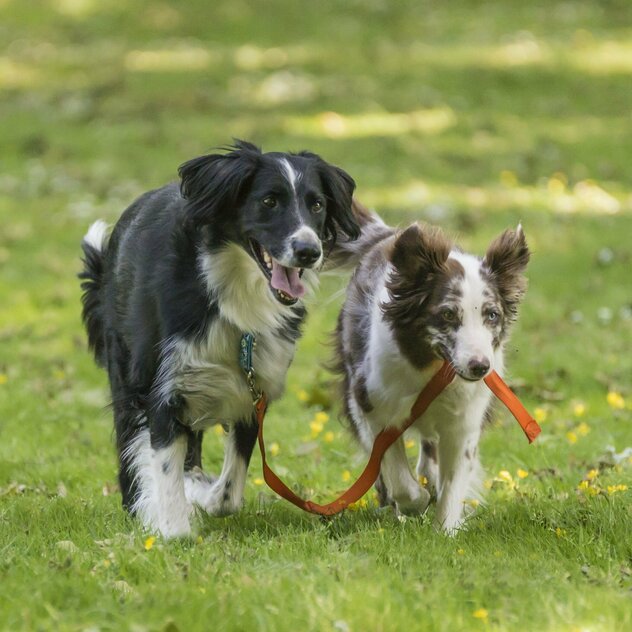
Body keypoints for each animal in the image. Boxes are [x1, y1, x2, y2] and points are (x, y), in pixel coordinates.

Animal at [334, 222, 532, 532]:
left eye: (492, 315)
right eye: (448, 314)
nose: (480, 367)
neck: (434, 368)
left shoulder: (465, 419)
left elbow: (454, 479)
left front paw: (446, 529)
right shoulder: (370, 404)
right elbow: (397, 475)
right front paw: (414, 502)